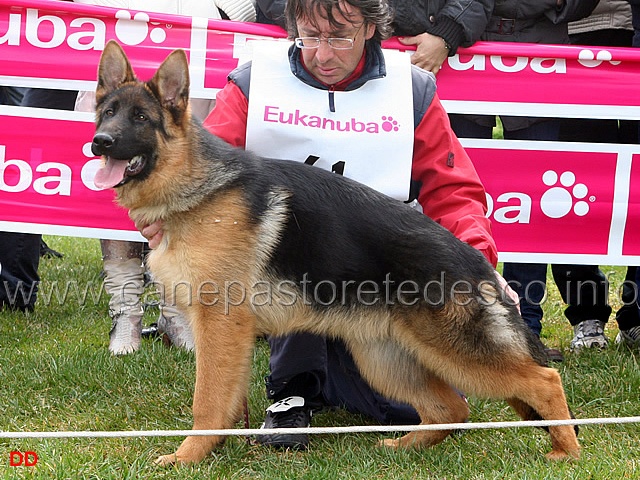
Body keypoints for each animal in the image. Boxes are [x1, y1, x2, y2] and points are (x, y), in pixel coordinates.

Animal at [94, 41, 580, 464]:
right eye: (108, 113)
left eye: (141, 118)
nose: (99, 142)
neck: (195, 187)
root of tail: (477, 262)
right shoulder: (225, 332)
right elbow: (223, 397)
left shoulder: (219, 324)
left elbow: (207, 400)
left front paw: (188, 457)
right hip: (385, 359)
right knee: (452, 410)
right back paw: (403, 447)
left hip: (456, 353)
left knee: (545, 380)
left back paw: (567, 451)